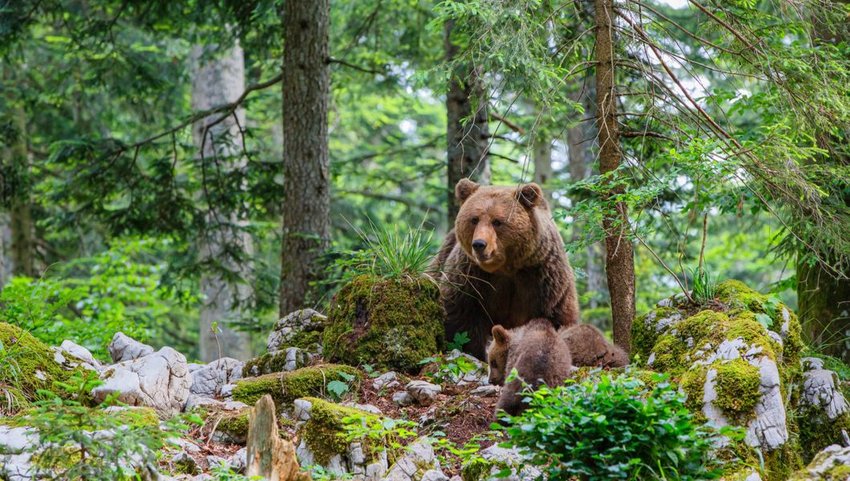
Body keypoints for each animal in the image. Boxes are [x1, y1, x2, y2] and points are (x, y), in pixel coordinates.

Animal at [430, 178, 576, 358]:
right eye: (474, 219)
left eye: (497, 221)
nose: (479, 244)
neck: (506, 268)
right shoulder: (471, 276)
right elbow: (461, 315)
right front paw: (476, 352)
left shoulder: (542, 279)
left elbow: (555, 318)